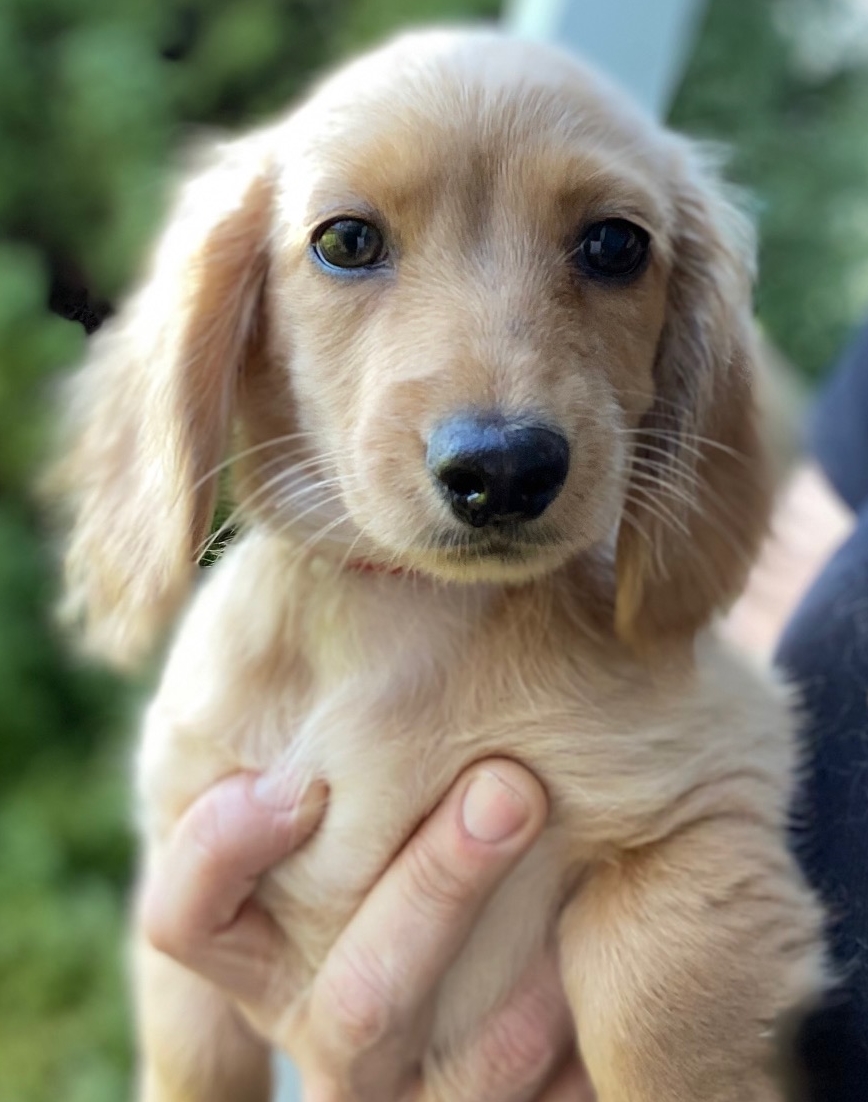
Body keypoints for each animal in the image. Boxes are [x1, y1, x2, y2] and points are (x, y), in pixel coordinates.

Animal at [52, 30, 828, 1102]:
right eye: (346, 241)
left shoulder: (710, 802)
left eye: (615, 245)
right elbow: (192, 1062)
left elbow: (650, 1015)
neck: (403, 633)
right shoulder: (185, 862)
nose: (503, 470)